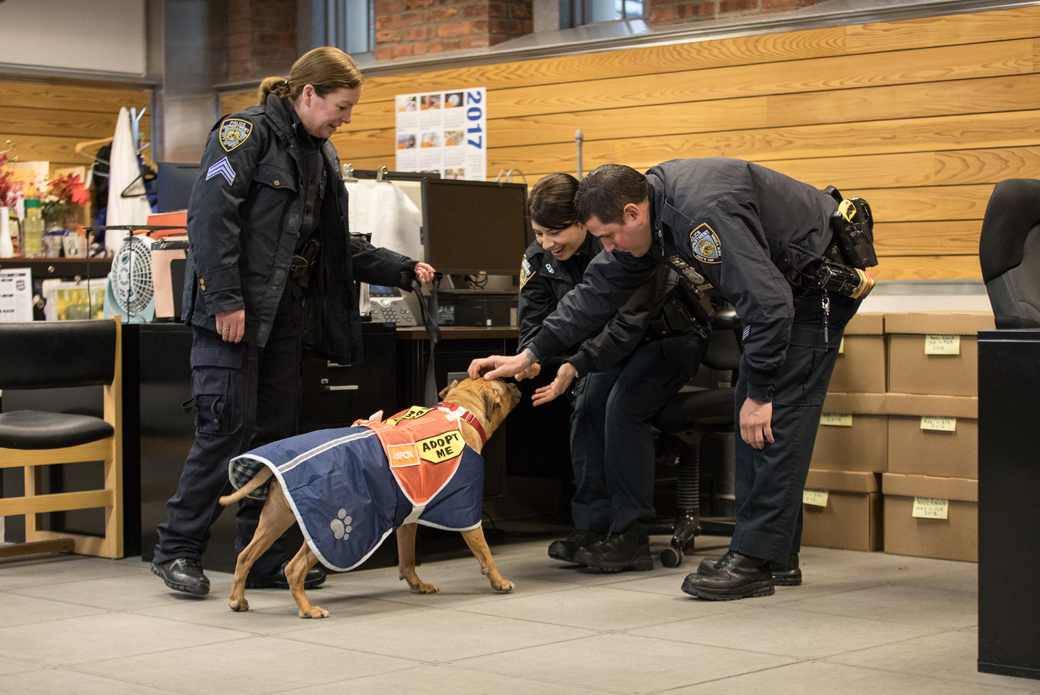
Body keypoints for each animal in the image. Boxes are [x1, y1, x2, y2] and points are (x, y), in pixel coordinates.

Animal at [216, 376, 520, 620]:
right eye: (503, 385)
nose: (515, 382)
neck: (460, 413)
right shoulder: (466, 512)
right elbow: (484, 552)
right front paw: (498, 581)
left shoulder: (409, 517)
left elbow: (407, 559)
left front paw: (416, 584)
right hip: (323, 536)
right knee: (293, 568)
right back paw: (307, 609)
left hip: (274, 521)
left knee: (245, 556)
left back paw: (237, 599)